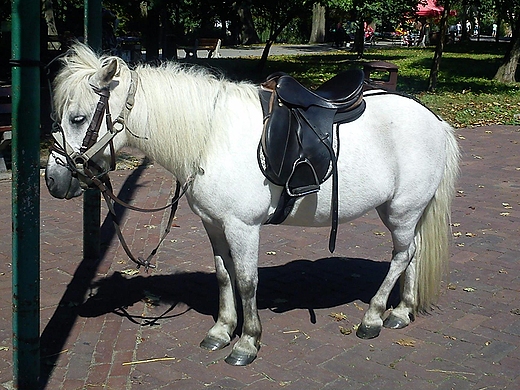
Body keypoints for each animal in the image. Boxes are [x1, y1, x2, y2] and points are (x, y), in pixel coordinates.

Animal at [45, 45, 460, 366]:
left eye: (78, 118)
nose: (53, 179)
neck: (211, 136)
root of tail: (435, 120)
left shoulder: (242, 227)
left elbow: (246, 281)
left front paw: (247, 342)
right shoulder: (214, 224)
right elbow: (223, 275)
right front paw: (221, 330)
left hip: (402, 210)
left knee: (401, 256)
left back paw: (373, 318)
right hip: (403, 213)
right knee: (413, 252)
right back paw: (401, 311)